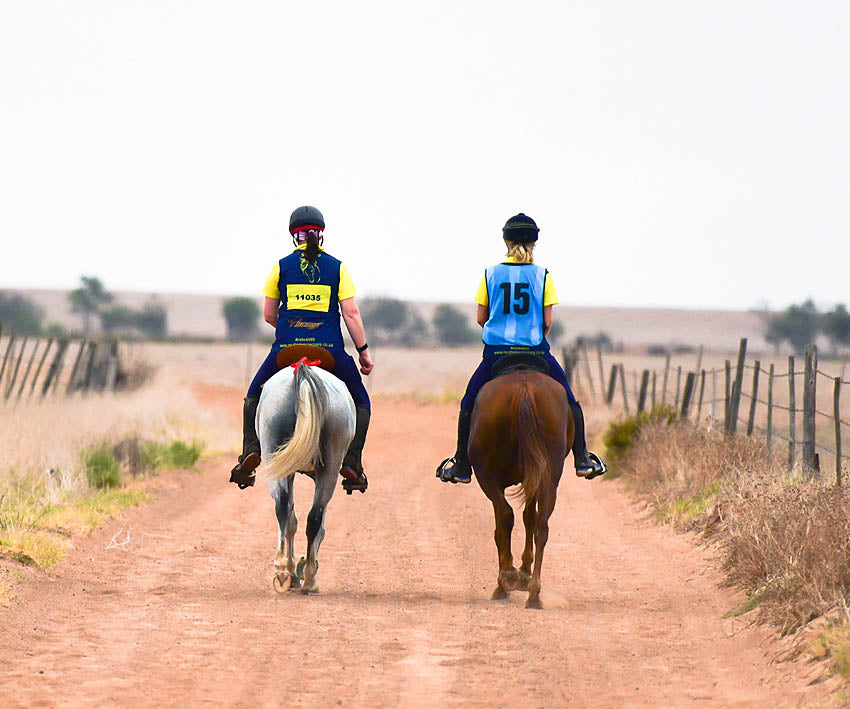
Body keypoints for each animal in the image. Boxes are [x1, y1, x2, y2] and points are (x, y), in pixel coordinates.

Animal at [256, 354, 352, 592]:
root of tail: (305, 373)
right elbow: (317, 527)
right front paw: (301, 568)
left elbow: (291, 519)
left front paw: (292, 570)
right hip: (329, 469)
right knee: (314, 517)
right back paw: (308, 579)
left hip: (276, 454)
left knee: (284, 508)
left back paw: (284, 571)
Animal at [468, 362, 572, 604]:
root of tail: (524, 389)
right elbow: (529, 518)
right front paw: (524, 573)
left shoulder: (493, 481)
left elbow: (505, 524)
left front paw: (514, 576)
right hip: (549, 478)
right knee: (541, 526)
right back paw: (534, 592)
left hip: (487, 477)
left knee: (506, 517)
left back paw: (506, 580)